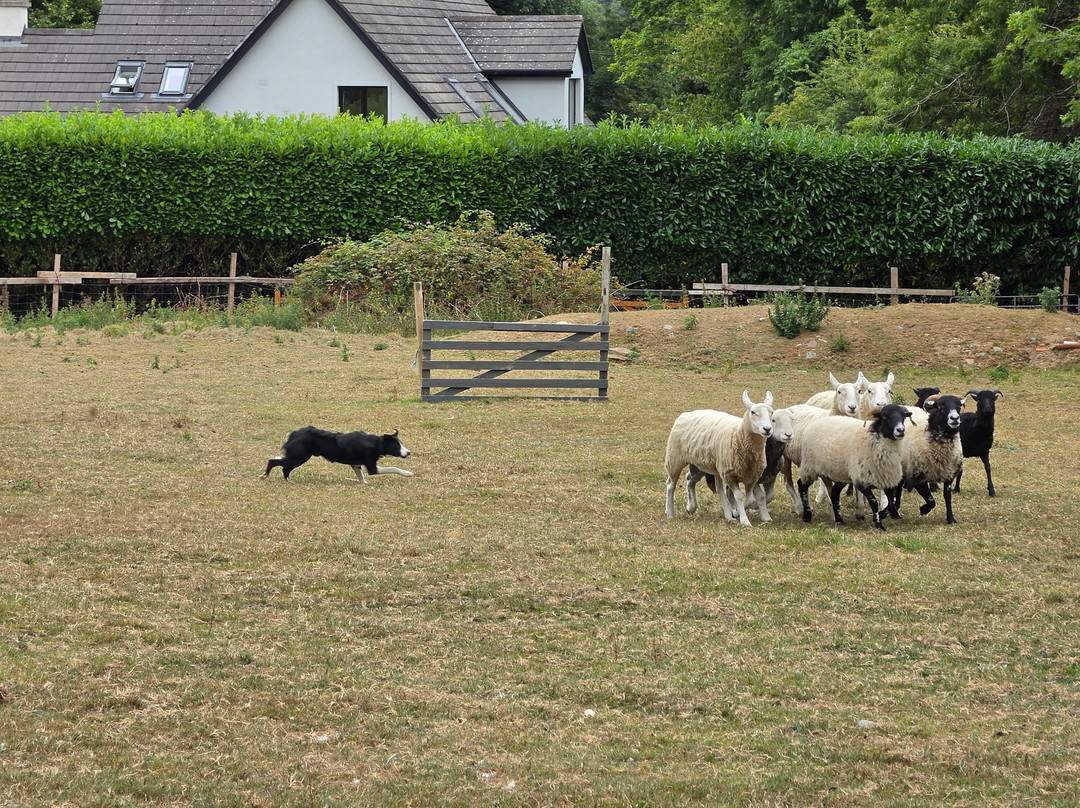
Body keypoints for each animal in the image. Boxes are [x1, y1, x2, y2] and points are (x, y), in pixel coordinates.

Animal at [664, 391, 774, 526]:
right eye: (753, 412)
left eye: (771, 413)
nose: (767, 429)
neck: (738, 434)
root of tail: (686, 413)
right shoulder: (730, 474)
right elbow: (739, 496)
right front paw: (743, 519)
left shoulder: (752, 477)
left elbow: (749, 498)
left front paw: (737, 512)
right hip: (674, 458)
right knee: (671, 485)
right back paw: (670, 513)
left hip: (713, 466)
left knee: (718, 489)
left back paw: (726, 516)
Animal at [889, 394, 966, 524]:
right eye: (940, 407)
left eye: (959, 407)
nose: (954, 418)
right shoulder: (918, 478)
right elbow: (931, 501)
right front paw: (924, 509)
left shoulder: (949, 475)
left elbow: (947, 497)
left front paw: (951, 519)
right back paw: (894, 512)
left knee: (899, 487)